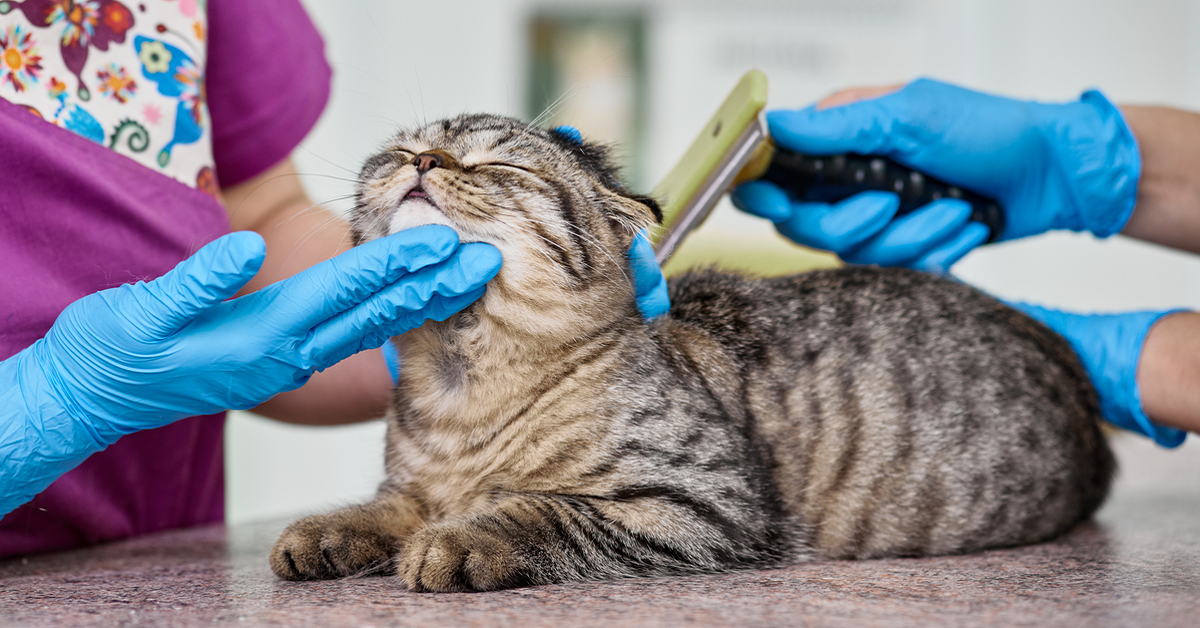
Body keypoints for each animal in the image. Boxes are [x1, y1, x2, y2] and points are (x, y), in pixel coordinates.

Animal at [272, 115, 1113, 593]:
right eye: (402, 150)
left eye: (499, 167)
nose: (423, 164)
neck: (461, 386)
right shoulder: (413, 485)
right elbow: (389, 508)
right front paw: (330, 531)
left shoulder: (705, 504)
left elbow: (542, 511)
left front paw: (464, 538)